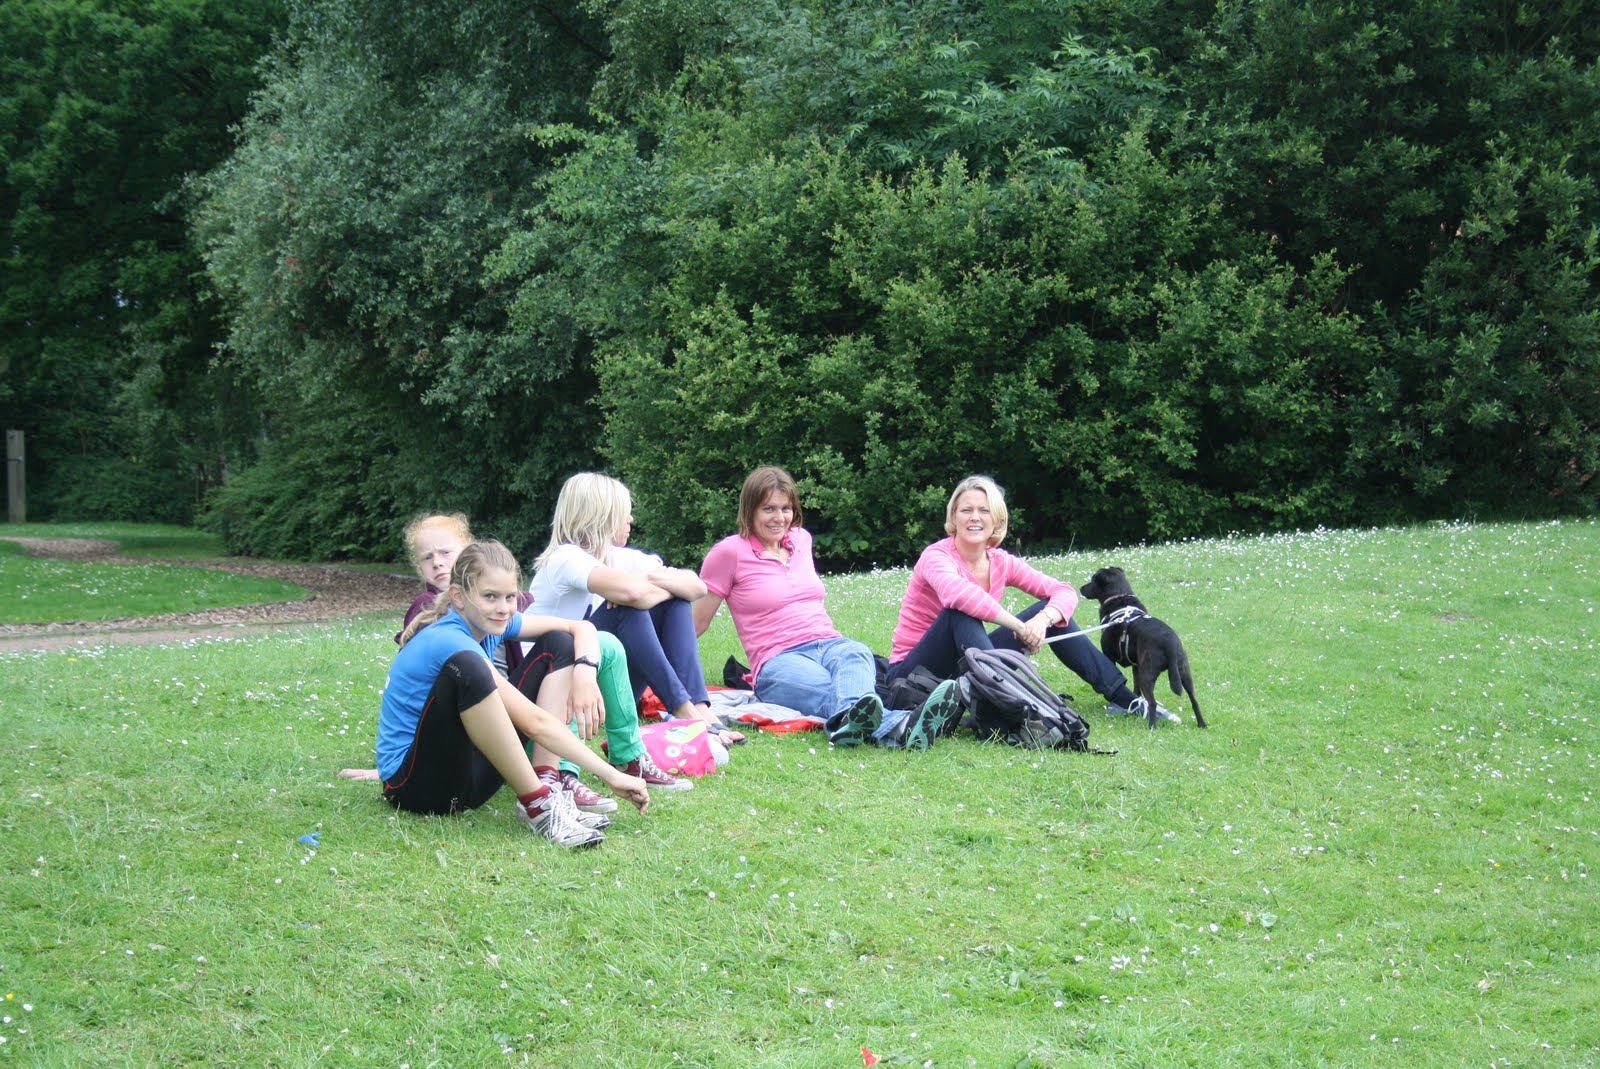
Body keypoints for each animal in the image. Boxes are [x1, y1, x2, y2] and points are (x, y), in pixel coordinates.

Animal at [1078, 566, 1206, 729]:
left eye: (1093, 579)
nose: (1081, 588)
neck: (1119, 597)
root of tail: (1170, 644)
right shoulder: (1136, 665)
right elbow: (1136, 689)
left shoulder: (1110, 657)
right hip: (1184, 671)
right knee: (1194, 700)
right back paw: (1202, 724)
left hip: (1148, 672)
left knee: (1153, 703)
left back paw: (1152, 727)